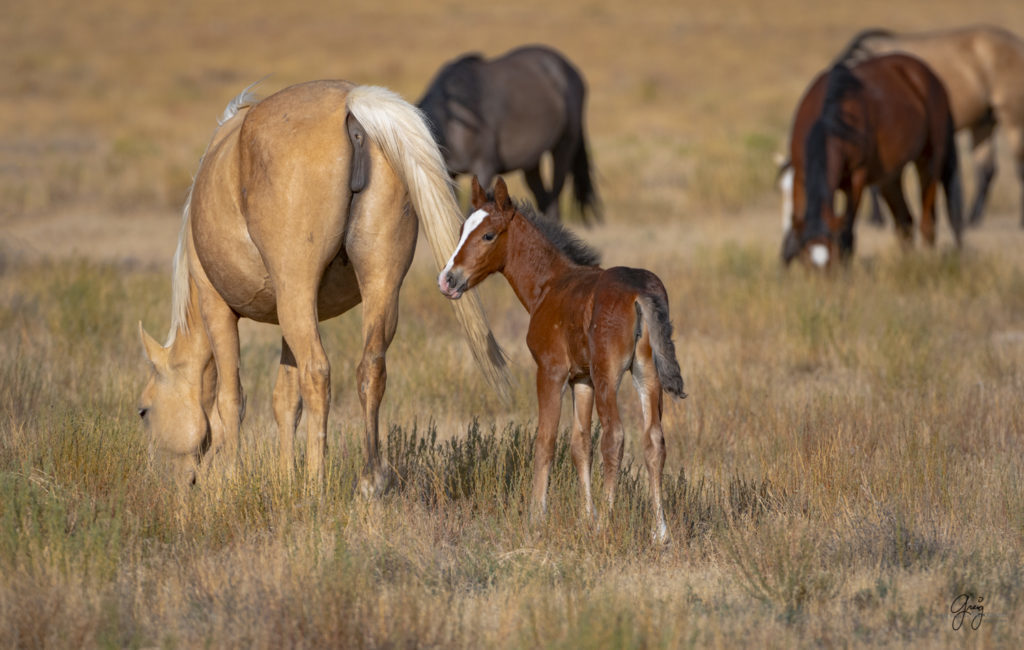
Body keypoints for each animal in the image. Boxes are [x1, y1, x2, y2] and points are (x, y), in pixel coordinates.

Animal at [138, 80, 512, 493]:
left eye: (144, 411)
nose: (164, 480)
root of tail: (351, 105)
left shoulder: (217, 307)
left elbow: (231, 397)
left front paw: (231, 479)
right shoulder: (288, 318)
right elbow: (285, 400)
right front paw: (284, 476)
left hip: (296, 291)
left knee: (318, 372)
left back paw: (315, 482)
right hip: (375, 287)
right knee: (370, 369)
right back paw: (370, 480)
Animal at [419, 45, 602, 224]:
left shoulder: (484, 167)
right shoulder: (450, 175)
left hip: (563, 147)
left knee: (555, 196)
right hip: (531, 164)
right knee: (544, 200)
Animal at [436, 175, 684, 540]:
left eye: (488, 235)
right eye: (461, 232)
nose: (447, 279)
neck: (549, 284)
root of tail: (640, 291)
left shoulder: (551, 371)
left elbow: (546, 441)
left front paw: (536, 516)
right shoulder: (581, 379)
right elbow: (580, 444)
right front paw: (585, 517)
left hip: (609, 374)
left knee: (614, 437)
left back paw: (607, 524)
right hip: (646, 375)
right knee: (654, 440)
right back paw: (661, 533)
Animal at [778, 54, 962, 268]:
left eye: (832, 263)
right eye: (808, 263)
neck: (829, 119)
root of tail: (926, 74)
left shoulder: (856, 179)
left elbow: (848, 235)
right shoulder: (800, 177)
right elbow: (795, 233)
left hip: (930, 161)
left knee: (927, 223)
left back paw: (926, 263)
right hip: (890, 178)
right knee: (905, 221)